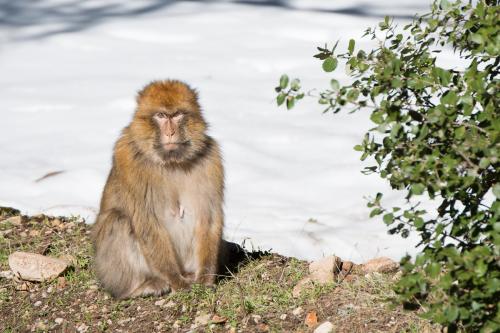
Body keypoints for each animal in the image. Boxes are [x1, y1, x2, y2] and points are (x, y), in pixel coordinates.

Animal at [92, 81, 225, 298]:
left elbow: (208, 216)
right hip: (111, 273)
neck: (171, 161)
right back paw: (140, 287)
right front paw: (177, 281)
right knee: (117, 220)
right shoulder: (127, 159)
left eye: (177, 114)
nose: (170, 132)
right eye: (161, 115)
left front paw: (205, 279)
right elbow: (147, 222)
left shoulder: (211, 159)